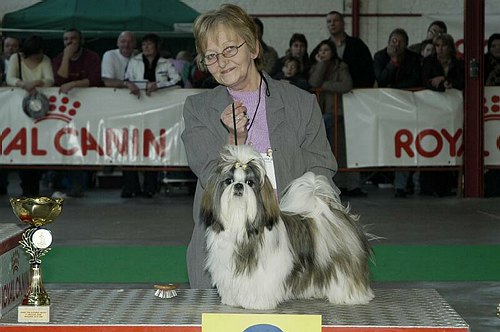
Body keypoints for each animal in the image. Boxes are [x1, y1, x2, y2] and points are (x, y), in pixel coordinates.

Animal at [201, 144, 374, 310]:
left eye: (249, 183)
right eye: (229, 181)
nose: (238, 186)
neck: (240, 222)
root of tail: (332, 212)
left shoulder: (265, 270)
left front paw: (257, 303)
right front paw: (233, 300)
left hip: (342, 263)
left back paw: (352, 297)